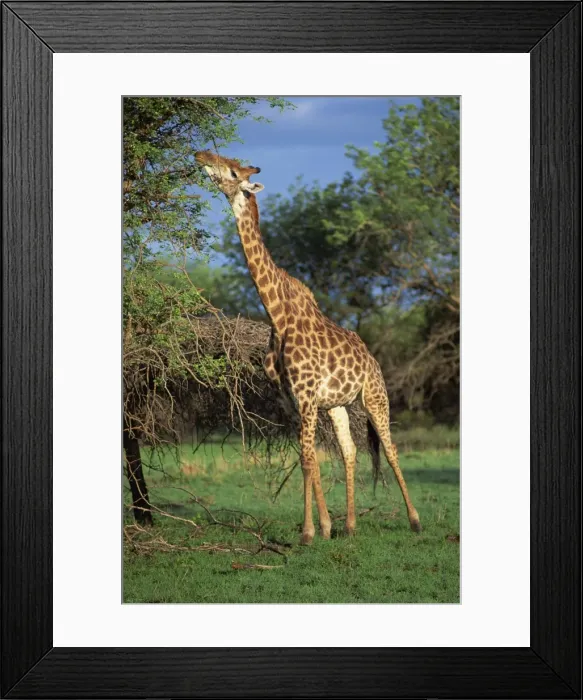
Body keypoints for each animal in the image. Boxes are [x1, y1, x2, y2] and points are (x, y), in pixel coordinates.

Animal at [195, 150, 421, 544]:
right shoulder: (293, 399)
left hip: (374, 397)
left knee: (391, 449)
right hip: (339, 405)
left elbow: (306, 458)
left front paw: (308, 532)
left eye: (234, 171)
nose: (201, 155)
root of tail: (373, 359)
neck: (277, 315)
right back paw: (350, 525)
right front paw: (326, 527)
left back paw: (414, 521)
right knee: (349, 451)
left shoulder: (306, 395)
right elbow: (311, 458)